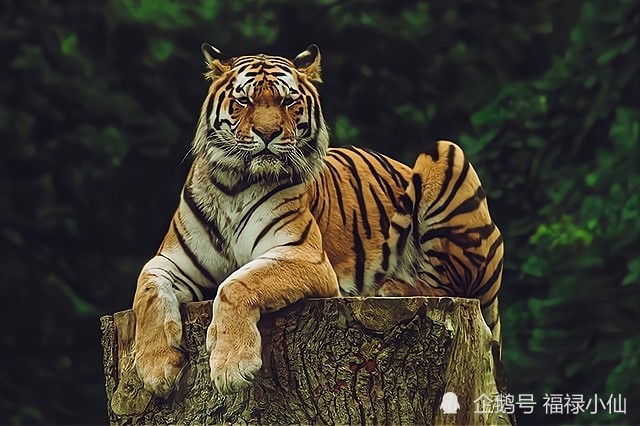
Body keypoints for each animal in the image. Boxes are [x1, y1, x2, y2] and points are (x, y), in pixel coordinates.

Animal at [131, 43, 504, 397]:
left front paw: (232, 366)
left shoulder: (304, 255)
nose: (267, 133)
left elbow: (236, 284)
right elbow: (147, 294)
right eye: (244, 100)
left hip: (446, 153)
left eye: (288, 101)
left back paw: (392, 286)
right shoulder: (171, 261)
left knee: (451, 283)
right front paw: (155, 369)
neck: (234, 185)